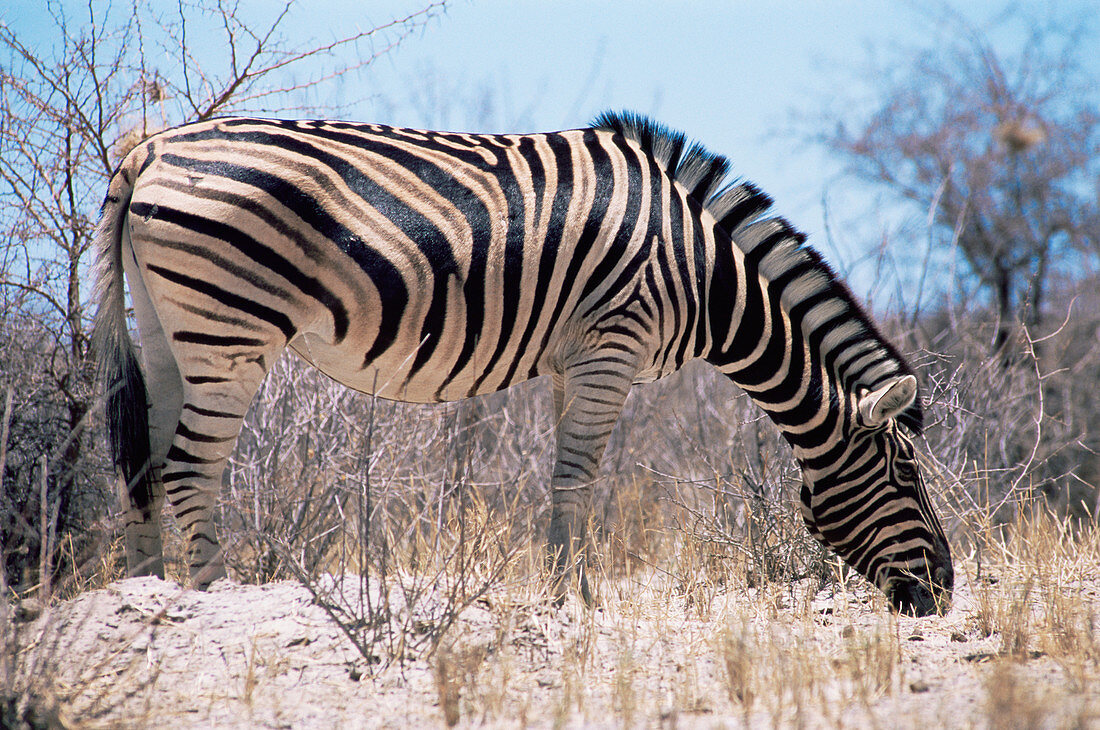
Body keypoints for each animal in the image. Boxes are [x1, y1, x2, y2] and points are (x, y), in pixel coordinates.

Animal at [94, 112, 954, 615]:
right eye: (905, 475)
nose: (944, 593)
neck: (708, 275)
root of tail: (149, 149)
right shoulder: (613, 342)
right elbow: (578, 477)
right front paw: (577, 600)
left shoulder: (576, 358)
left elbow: (562, 475)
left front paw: (563, 588)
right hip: (230, 328)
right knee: (189, 470)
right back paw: (212, 606)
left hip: (170, 332)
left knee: (144, 465)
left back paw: (148, 598)